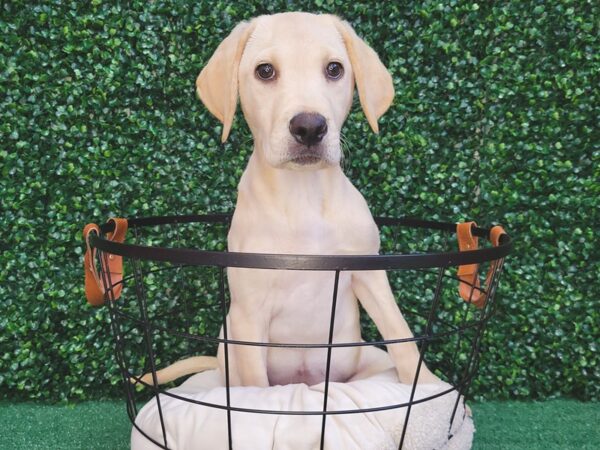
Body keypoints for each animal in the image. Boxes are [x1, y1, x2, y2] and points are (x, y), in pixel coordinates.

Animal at [141, 12, 440, 388]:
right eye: (265, 71)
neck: (303, 195)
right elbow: (257, 386)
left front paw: (428, 385)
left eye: (334, 69)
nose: (310, 127)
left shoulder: (370, 275)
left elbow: (401, 334)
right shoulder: (249, 313)